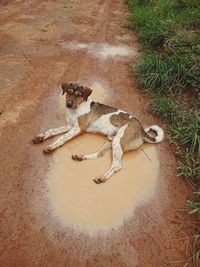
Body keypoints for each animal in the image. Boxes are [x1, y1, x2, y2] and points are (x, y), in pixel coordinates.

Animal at [33, 84, 164, 184]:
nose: (68, 104)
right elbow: (51, 130)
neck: (76, 109)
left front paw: (51, 147)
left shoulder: (77, 128)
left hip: (118, 141)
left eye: (79, 95)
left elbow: (62, 138)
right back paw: (80, 157)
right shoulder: (69, 126)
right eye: (68, 92)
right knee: (99, 155)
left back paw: (102, 177)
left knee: (117, 165)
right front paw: (41, 137)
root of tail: (142, 130)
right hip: (111, 140)